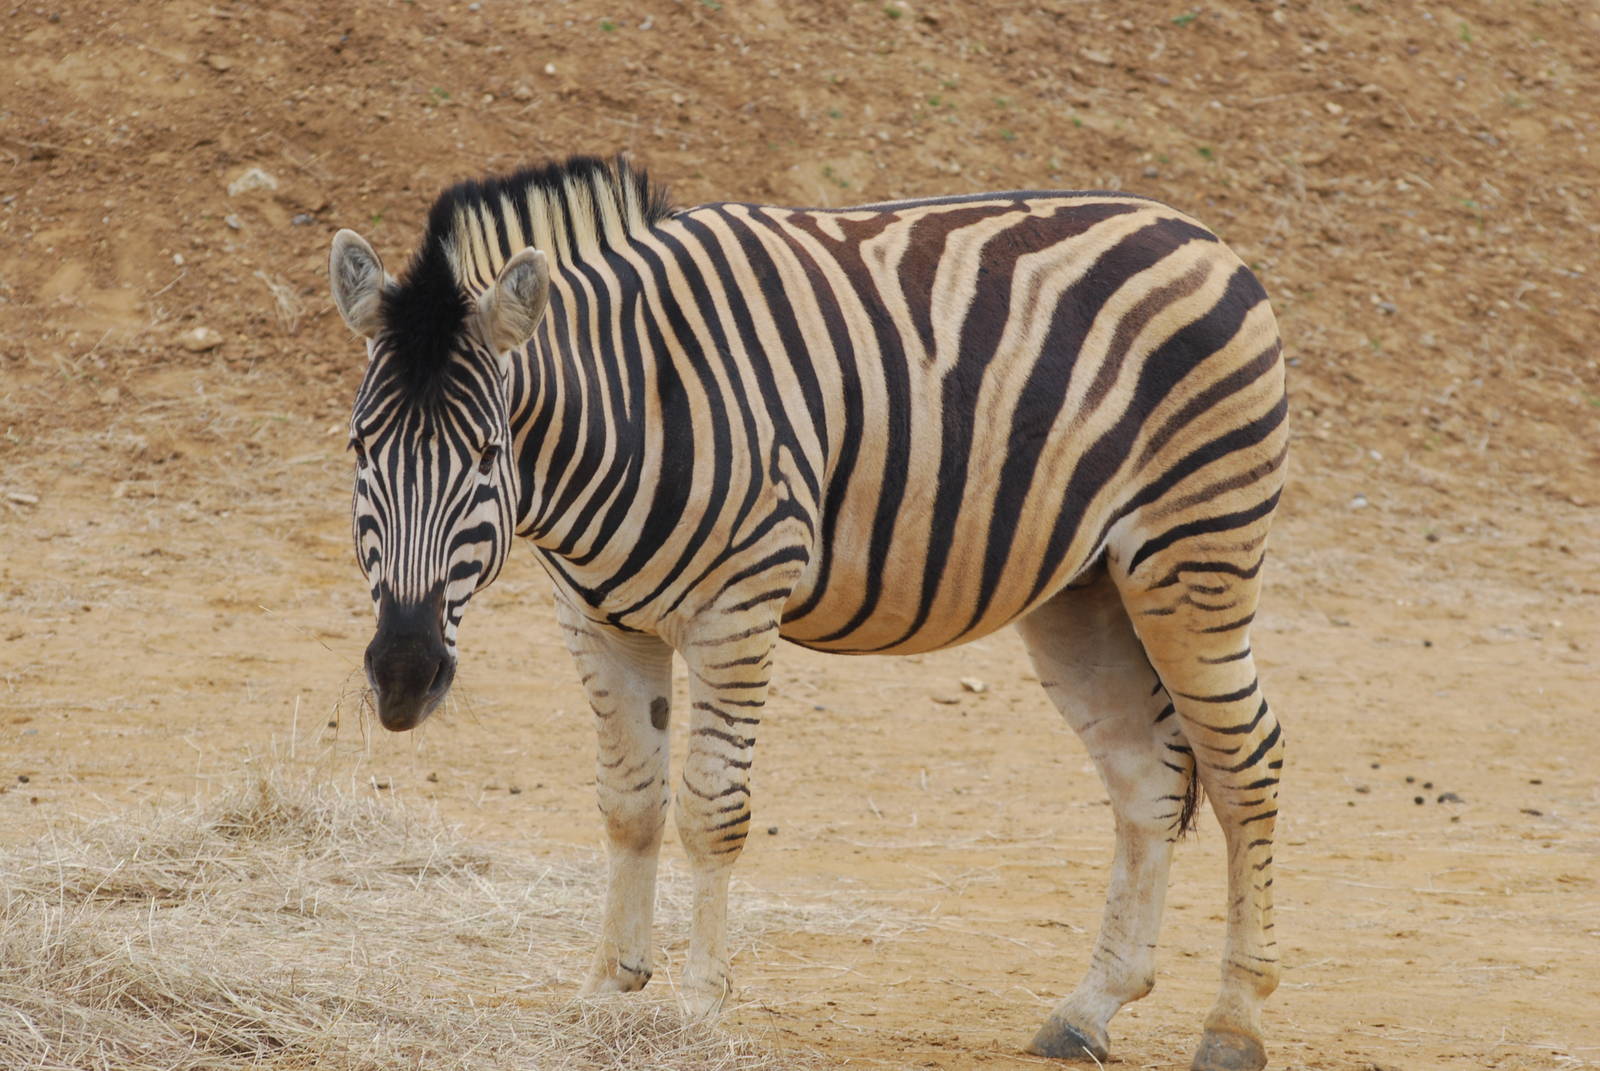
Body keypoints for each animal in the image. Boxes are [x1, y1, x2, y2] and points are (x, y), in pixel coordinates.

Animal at [329, 155, 1287, 1071]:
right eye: (360, 446)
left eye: (488, 452)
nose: (403, 674)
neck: (635, 404)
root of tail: (1198, 233)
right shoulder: (598, 623)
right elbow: (627, 802)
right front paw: (605, 989)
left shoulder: (737, 607)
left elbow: (710, 809)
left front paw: (699, 1005)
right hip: (1081, 592)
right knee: (1147, 775)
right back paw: (1089, 1009)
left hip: (1193, 558)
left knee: (1248, 763)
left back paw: (1233, 1023)